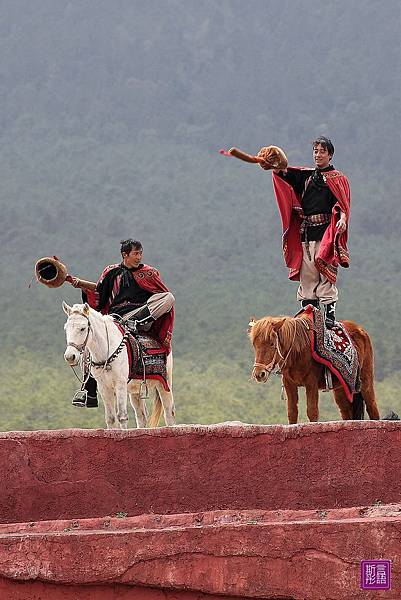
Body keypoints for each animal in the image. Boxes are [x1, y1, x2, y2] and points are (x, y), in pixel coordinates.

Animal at [248, 314, 380, 422]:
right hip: (341, 389)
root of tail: (361, 330)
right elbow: (292, 412)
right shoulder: (289, 384)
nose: (259, 374)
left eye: (271, 343)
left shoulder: (311, 383)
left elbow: (312, 412)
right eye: (254, 344)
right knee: (346, 413)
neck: (297, 351)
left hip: (366, 382)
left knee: (373, 409)